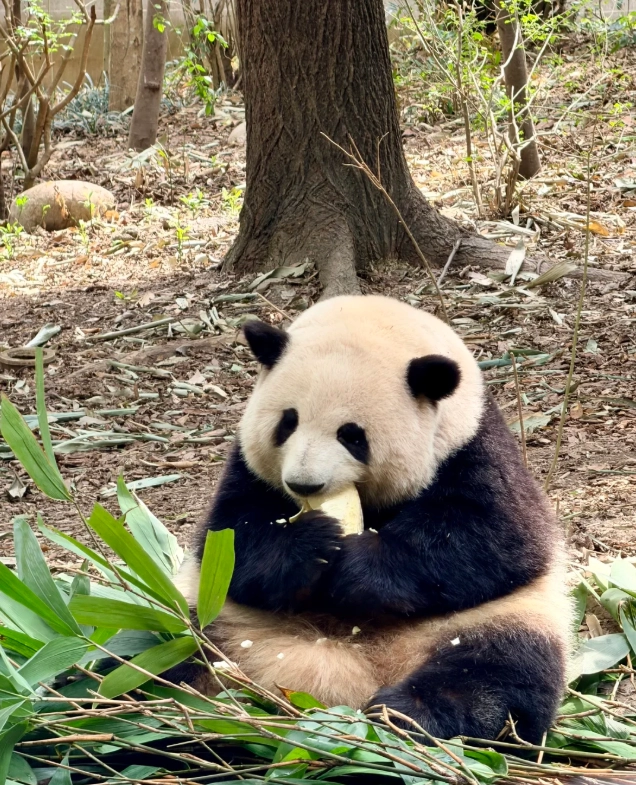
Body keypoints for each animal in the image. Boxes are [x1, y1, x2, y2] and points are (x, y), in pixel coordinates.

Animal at [176, 294, 572, 743]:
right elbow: (229, 542)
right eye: (287, 422)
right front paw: (311, 545)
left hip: (499, 620)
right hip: (216, 620)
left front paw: (355, 565)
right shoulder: (247, 469)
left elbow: (496, 542)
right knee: (166, 654)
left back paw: (405, 714)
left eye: (352, 435)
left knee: (497, 674)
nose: (304, 484)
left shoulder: (473, 448)